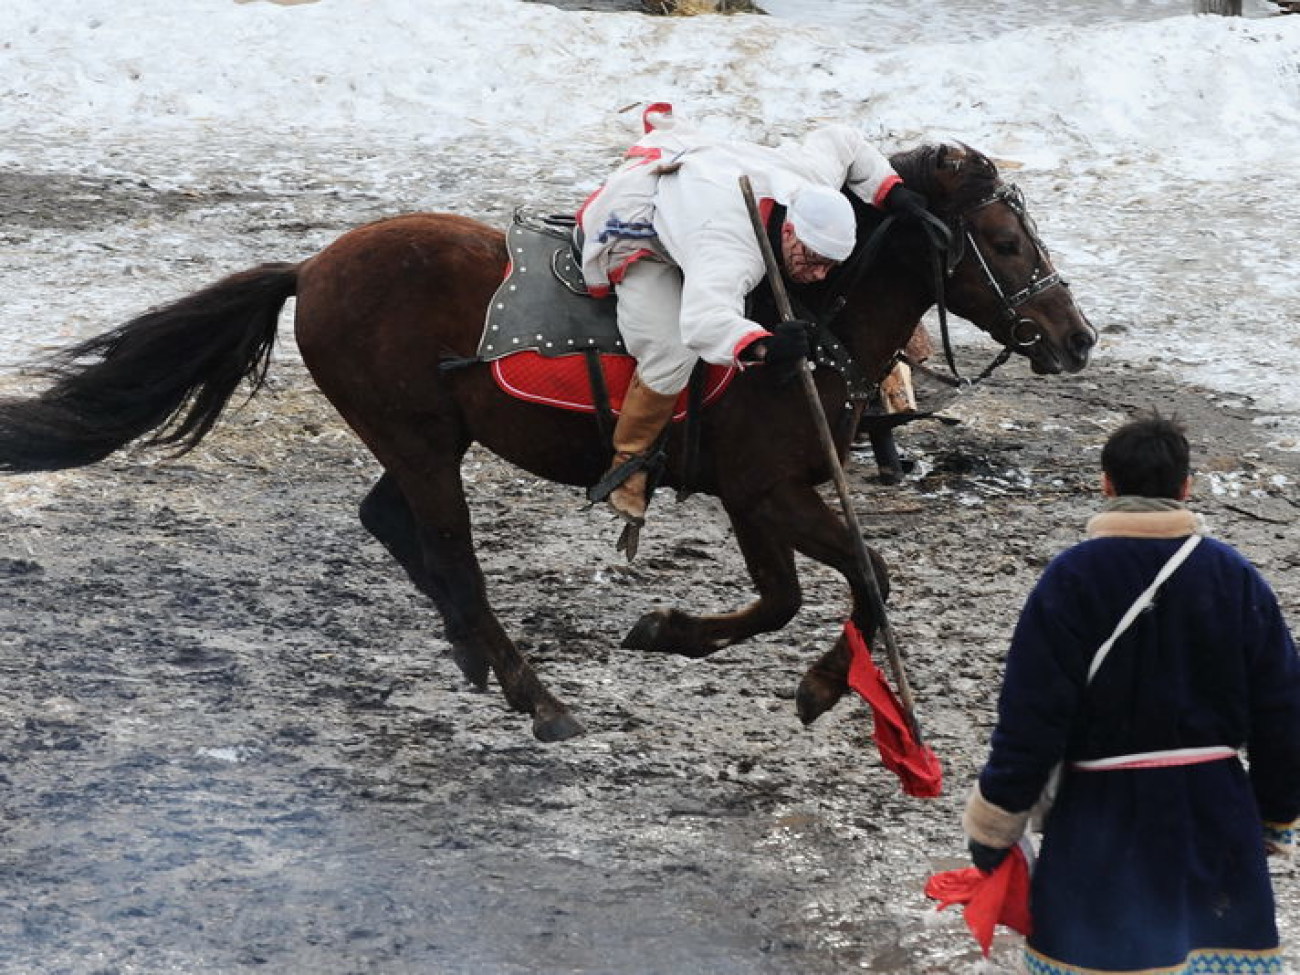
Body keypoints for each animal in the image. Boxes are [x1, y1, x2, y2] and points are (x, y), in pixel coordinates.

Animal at [0, 143, 1097, 738]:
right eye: (1004, 242)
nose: (1077, 336)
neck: (799, 316)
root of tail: (310, 267)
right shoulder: (768, 489)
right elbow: (863, 577)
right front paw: (822, 684)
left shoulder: (760, 495)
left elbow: (788, 596)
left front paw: (677, 633)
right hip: (421, 440)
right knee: (448, 550)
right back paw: (534, 692)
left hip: (426, 441)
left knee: (391, 521)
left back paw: (475, 656)